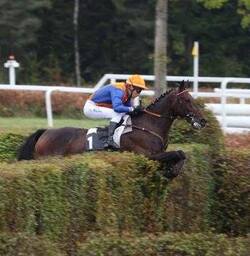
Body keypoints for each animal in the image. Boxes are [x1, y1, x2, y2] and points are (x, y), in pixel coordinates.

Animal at [17, 81, 205, 179]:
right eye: (187, 100)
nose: (202, 120)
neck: (149, 125)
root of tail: (45, 132)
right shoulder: (147, 155)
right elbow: (178, 152)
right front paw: (171, 172)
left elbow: (182, 154)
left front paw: (172, 170)